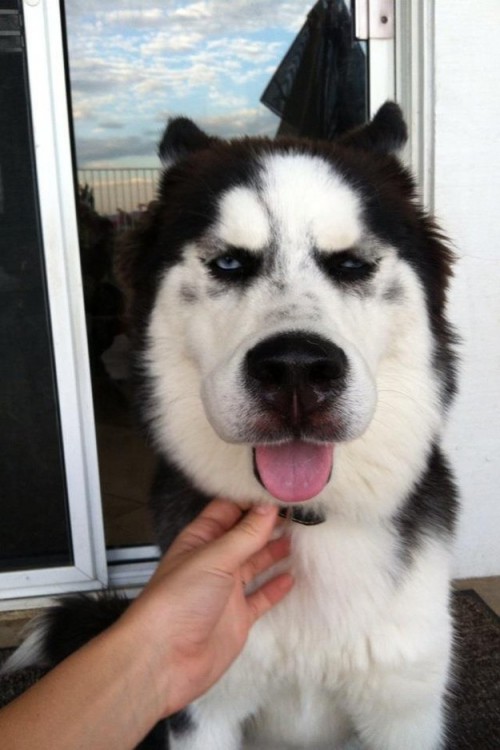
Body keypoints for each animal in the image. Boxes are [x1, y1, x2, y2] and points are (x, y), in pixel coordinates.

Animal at [4, 106, 458, 750]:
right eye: (228, 263)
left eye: (351, 265)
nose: (296, 369)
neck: (305, 524)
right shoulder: (202, 707)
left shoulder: (405, 710)